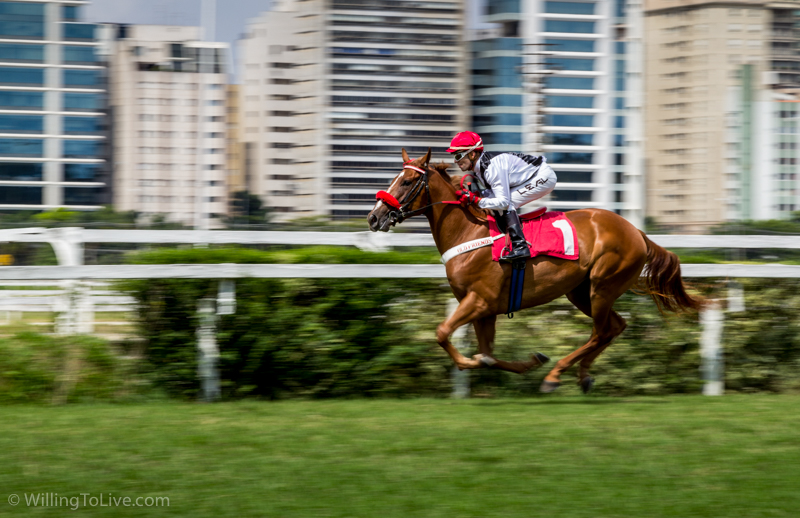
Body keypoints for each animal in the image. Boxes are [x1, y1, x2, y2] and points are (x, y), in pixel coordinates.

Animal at [368, 148, 700, 392]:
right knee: (614, 328)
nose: (374, 217)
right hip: (580, 291)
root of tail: (637, 232)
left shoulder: (479, 300)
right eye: (395, 177)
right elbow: (487, 355)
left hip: (602, 286)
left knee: (602, 330)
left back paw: (555, 376)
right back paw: (581, 375)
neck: (468, 232)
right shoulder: (484, 308)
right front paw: (529, 361)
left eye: (407, 182)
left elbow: (444, 335)